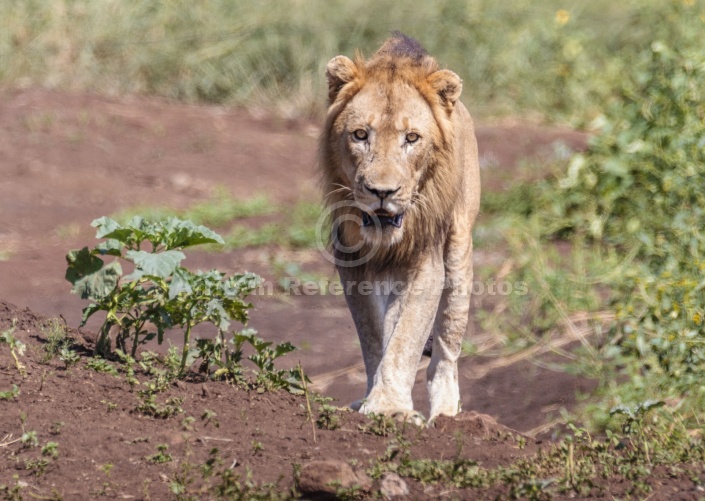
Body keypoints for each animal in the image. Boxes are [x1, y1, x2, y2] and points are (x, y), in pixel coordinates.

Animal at [318, 32, 478, 422]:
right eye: (360, 134)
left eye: (412, 138)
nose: (382, 192)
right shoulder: (353, 265)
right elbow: (375, 335)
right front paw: (376, 401)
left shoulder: (426, 263)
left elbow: (406, 336)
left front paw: (390, 407)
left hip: (459, 254)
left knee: (446, 350)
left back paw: (446, 416)